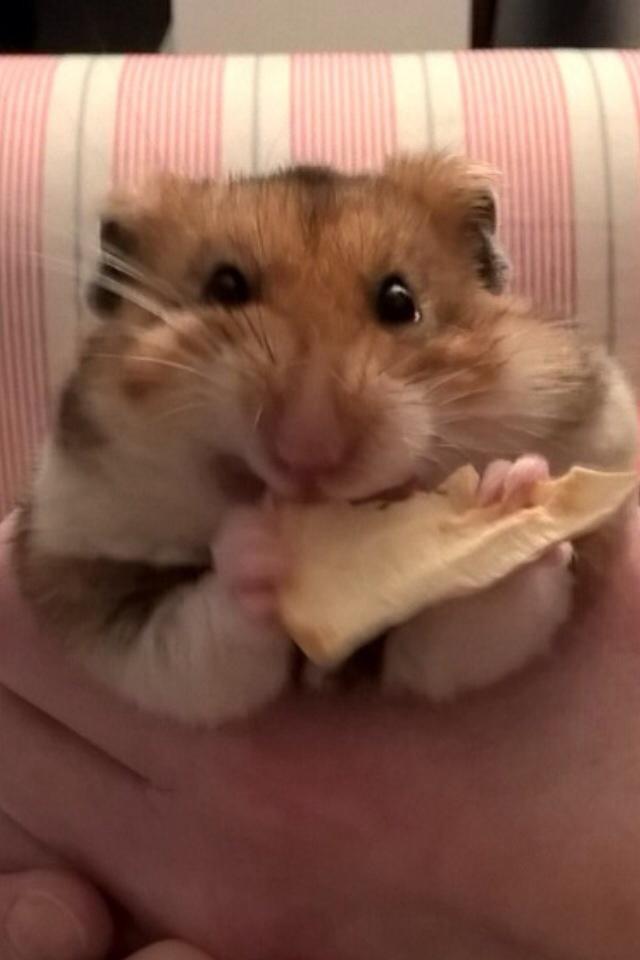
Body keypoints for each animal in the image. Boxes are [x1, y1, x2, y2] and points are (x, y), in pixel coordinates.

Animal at [12, 153, 638, 722]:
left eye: (399, 300)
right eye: (224, 286)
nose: (308, 454)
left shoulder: (432, 654)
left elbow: (477, 620)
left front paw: (513, 489)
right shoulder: (86, 582)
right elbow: (195, 645)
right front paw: (259, 548)